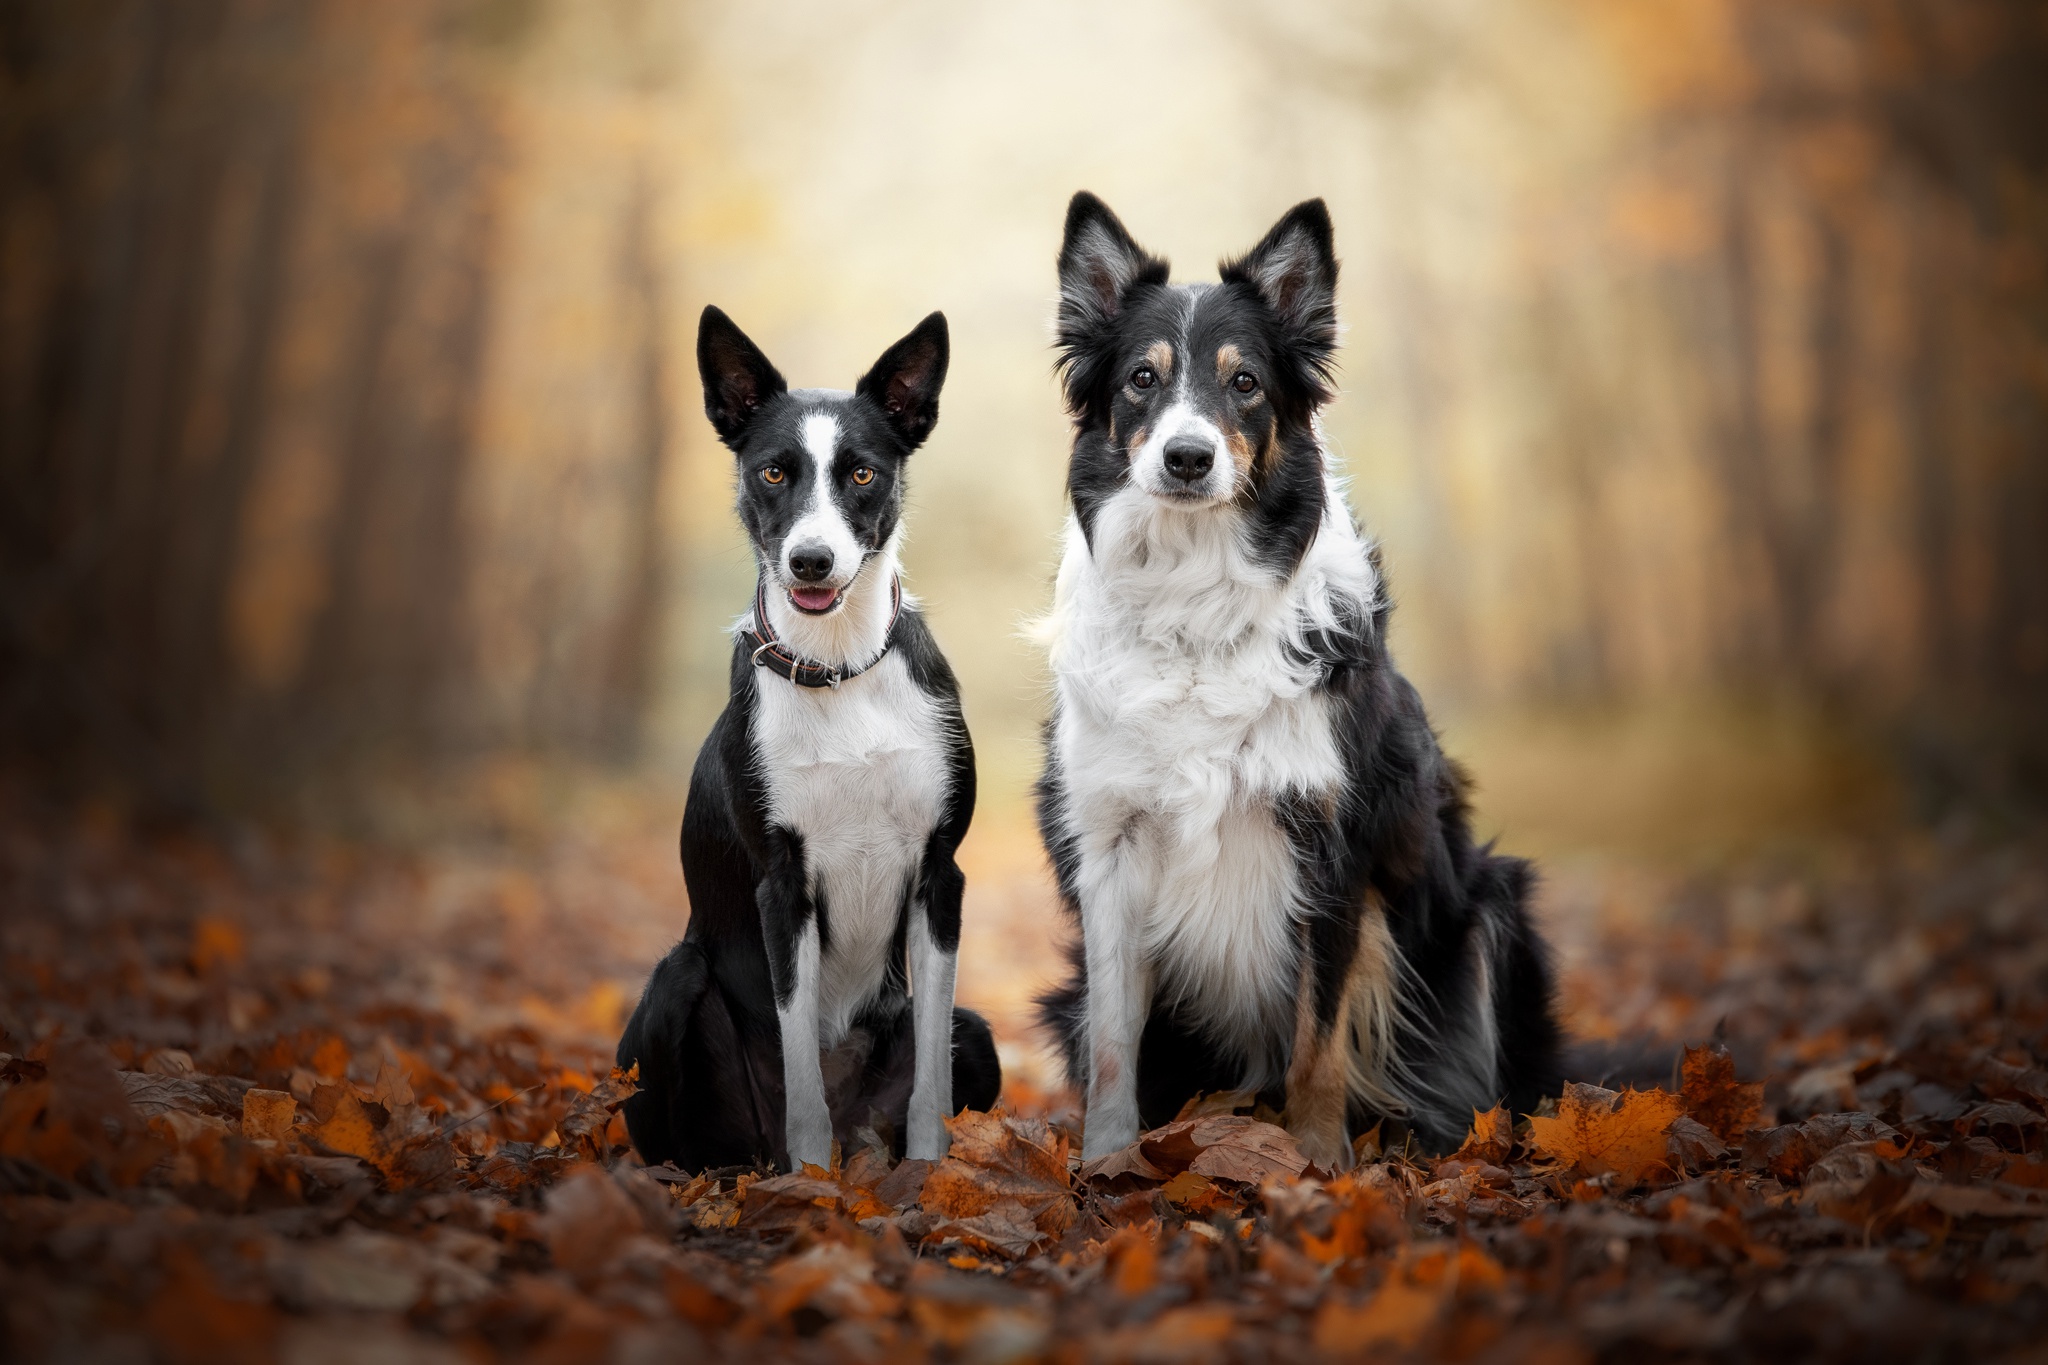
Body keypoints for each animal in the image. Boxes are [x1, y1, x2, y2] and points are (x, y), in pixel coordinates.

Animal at [622, 309, 1007, 1178]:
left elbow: (931, 1079)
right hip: (676, 980)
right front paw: (810, 1182)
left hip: (977, 1035)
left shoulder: (940, 874)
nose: (811, 560)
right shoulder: (783, 883)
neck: (837, 670)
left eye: (862, 475)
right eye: (772, 472)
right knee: (692, 1133)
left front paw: (927, 1175)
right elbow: (799, 1062)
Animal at [1032, 197, 1556, 1170]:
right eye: (1141, 379)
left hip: (1490, 910)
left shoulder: (1334, 841)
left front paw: (1317, 1163)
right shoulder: (1108, 845)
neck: (1194, 609)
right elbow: (1116, 1040)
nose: (1188, 457)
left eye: (1245, 383)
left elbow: (1320, 1032)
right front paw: (1108, 1164)